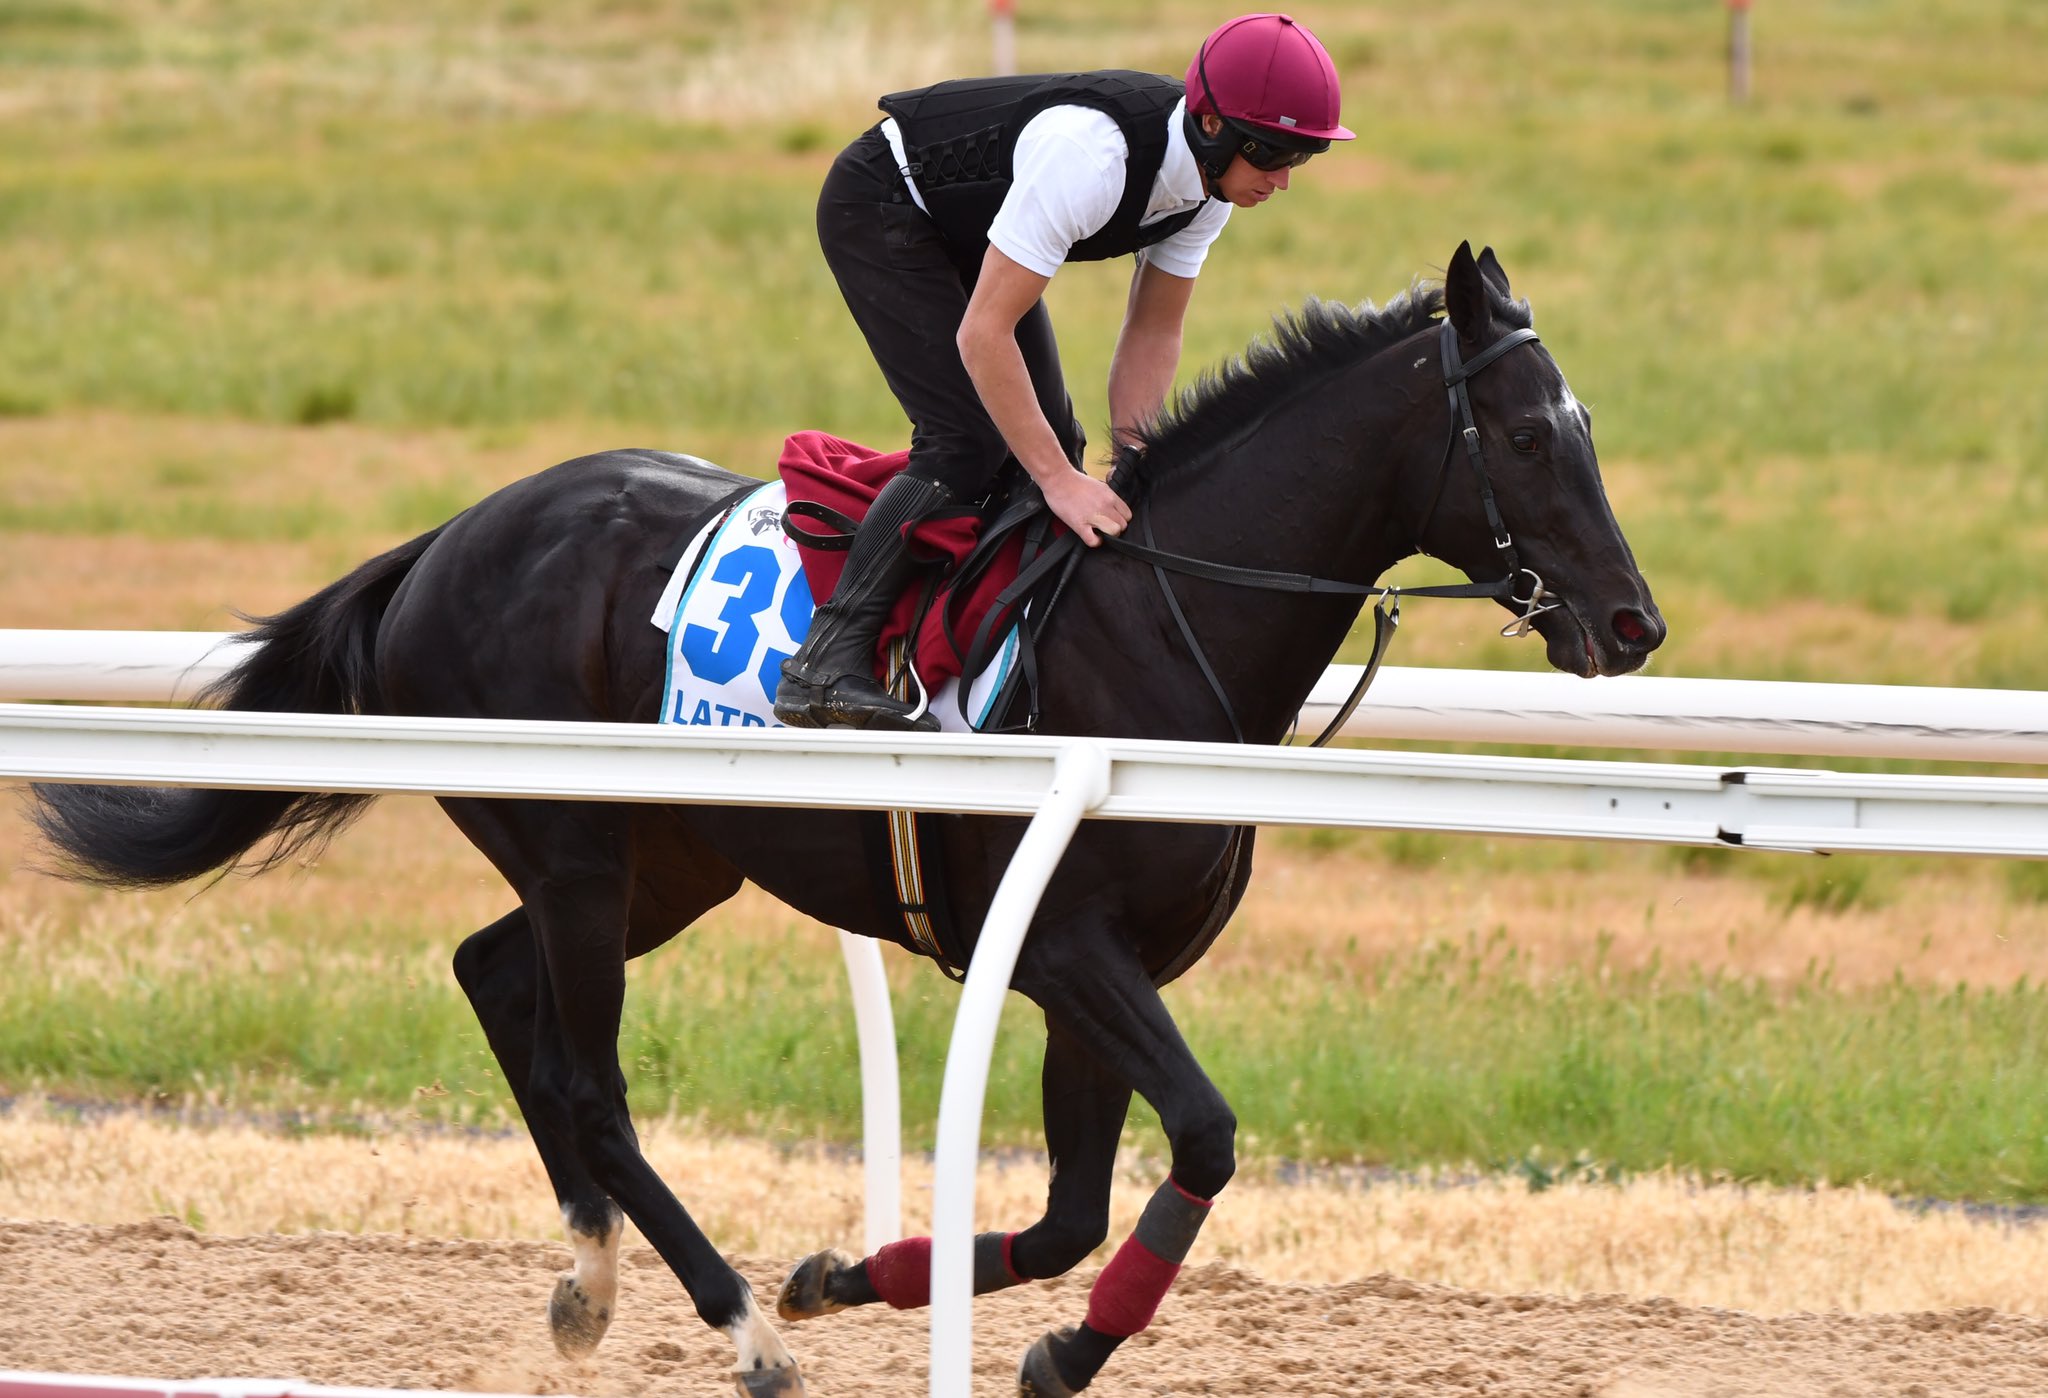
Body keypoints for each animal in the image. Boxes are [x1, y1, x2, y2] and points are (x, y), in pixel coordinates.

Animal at [29, 242, 1663, 1396]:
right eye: (1529, 436)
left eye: (1590, 422)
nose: (1634, 625)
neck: (1157, 624)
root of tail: (448, 538)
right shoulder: (1061, 944)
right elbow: (1200, 1136)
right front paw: (1029, 1339)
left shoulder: (1101, 971)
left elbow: (1070, 1210)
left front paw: (862, 1277)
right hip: (579, 845)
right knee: (584, 1073)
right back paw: (742, 1331)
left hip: (668, 858)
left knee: (493, 982)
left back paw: (592, 1284)